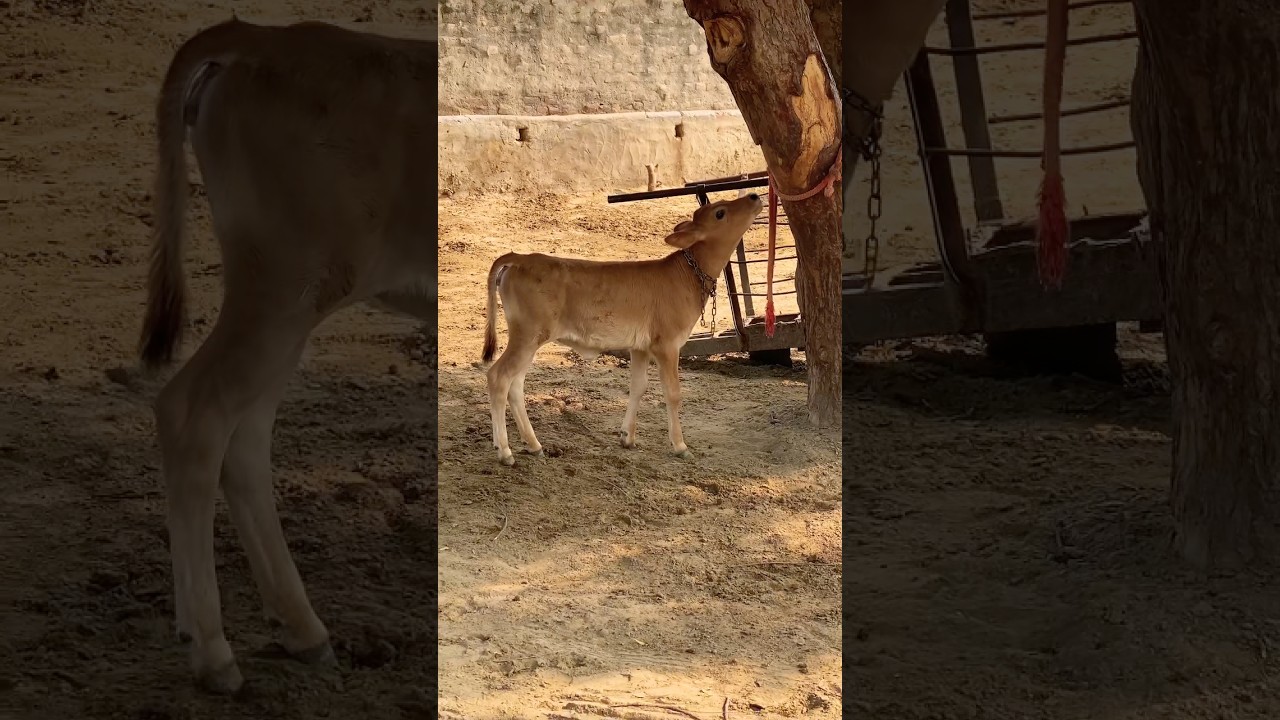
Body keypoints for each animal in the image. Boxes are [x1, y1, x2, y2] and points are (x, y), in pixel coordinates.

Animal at [137, 18, 435, 694]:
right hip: (282, 289)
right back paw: (213, 650)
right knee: (195, 414)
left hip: (287, 305)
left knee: (243, 436)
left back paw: (300, 629)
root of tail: (258, 37)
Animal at [481, 192, 764, 466]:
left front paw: (627, 437)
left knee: (516, 385)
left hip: (530, 339)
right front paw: (680, 446)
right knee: (499, 377)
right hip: (528, 335)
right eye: (720, 212)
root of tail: (520, 258)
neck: (687, 276)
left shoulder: (640, 347)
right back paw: (505, 451)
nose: (753, 196)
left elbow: (638, 386)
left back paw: (534, 445)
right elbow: (672, 393)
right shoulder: (667, 344)